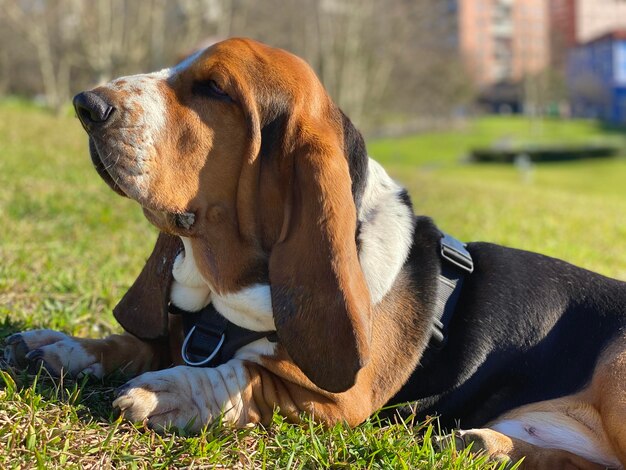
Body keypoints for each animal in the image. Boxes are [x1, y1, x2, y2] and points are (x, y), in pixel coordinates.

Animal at [4, 38, 624, 468]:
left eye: (215, 89)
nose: (86, 104)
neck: (225, 294)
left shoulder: (337, 402)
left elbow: (249, 375)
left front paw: (170, 391)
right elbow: (139, 340)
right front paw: (59, 347)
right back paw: (485, 444)